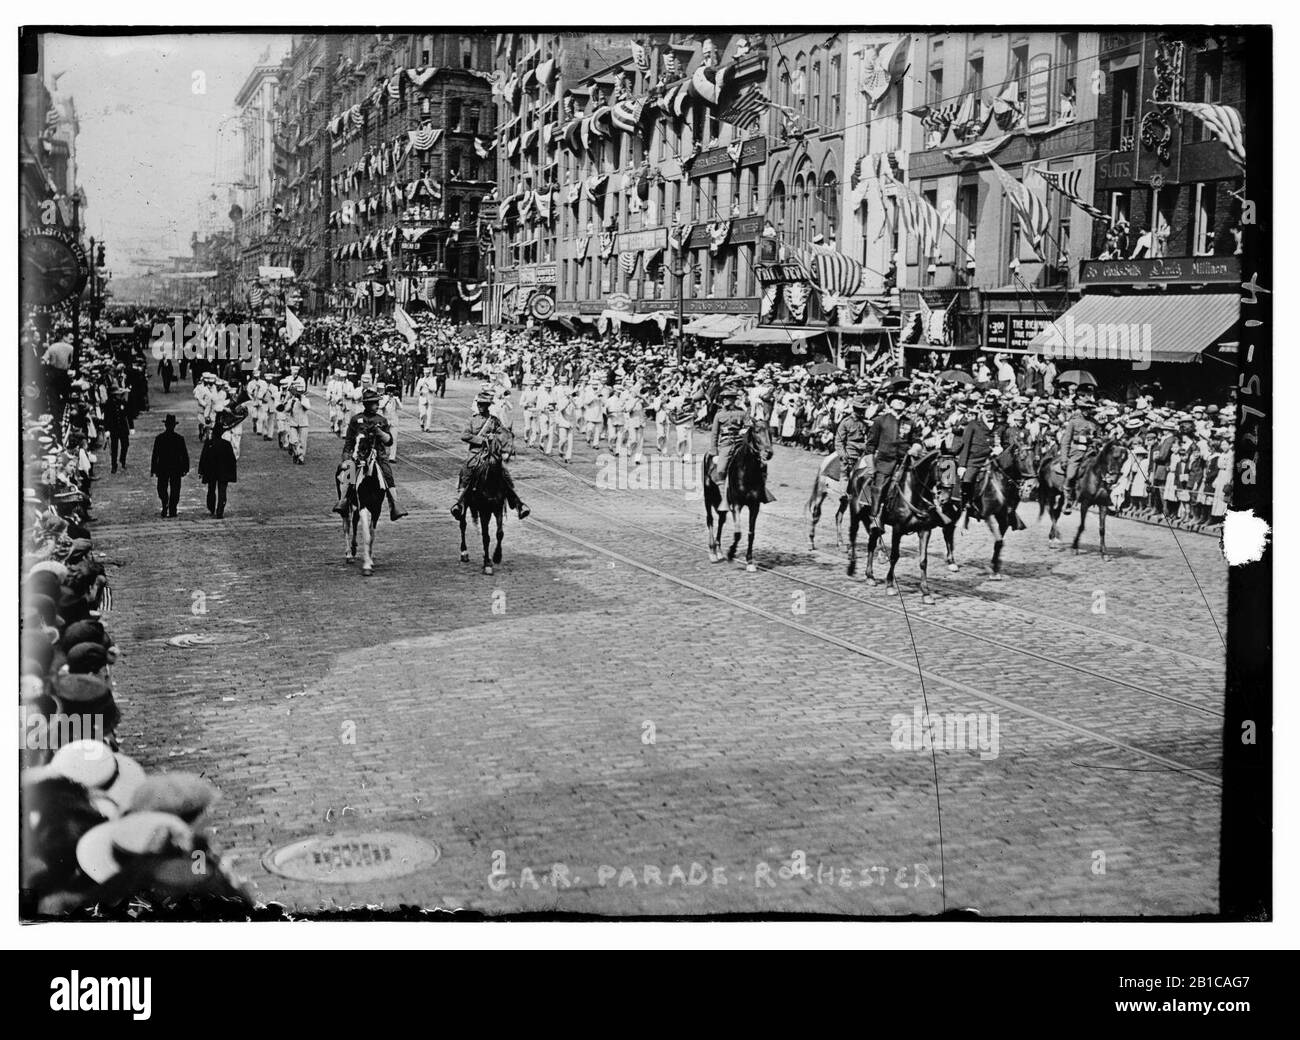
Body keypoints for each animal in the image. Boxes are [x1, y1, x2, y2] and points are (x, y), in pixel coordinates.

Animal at [707, 423, 764, 572]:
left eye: (770, 432)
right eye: (756, 431)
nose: (769, 452)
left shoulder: (754, 506)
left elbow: (751, 533)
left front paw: (749, 561)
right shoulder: (736, 504)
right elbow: (738, 533)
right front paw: (731, 553)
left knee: (721, 520)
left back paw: (718, 550)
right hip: (708, 497)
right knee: (710, 519)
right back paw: (712, 552)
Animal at [847, 449, 961, 605]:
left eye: (957, 467)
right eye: (943, 468)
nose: (945, 497)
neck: (913, 492)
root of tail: (857, 471)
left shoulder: (925, 530)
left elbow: (923, 561)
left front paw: (926, 593)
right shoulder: (898, 529)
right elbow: (894, 556)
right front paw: (890, 585)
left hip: (873, 523)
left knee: (871, 544)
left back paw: (870, 576)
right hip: (855, 513)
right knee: (853, 535)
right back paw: (852, 567)